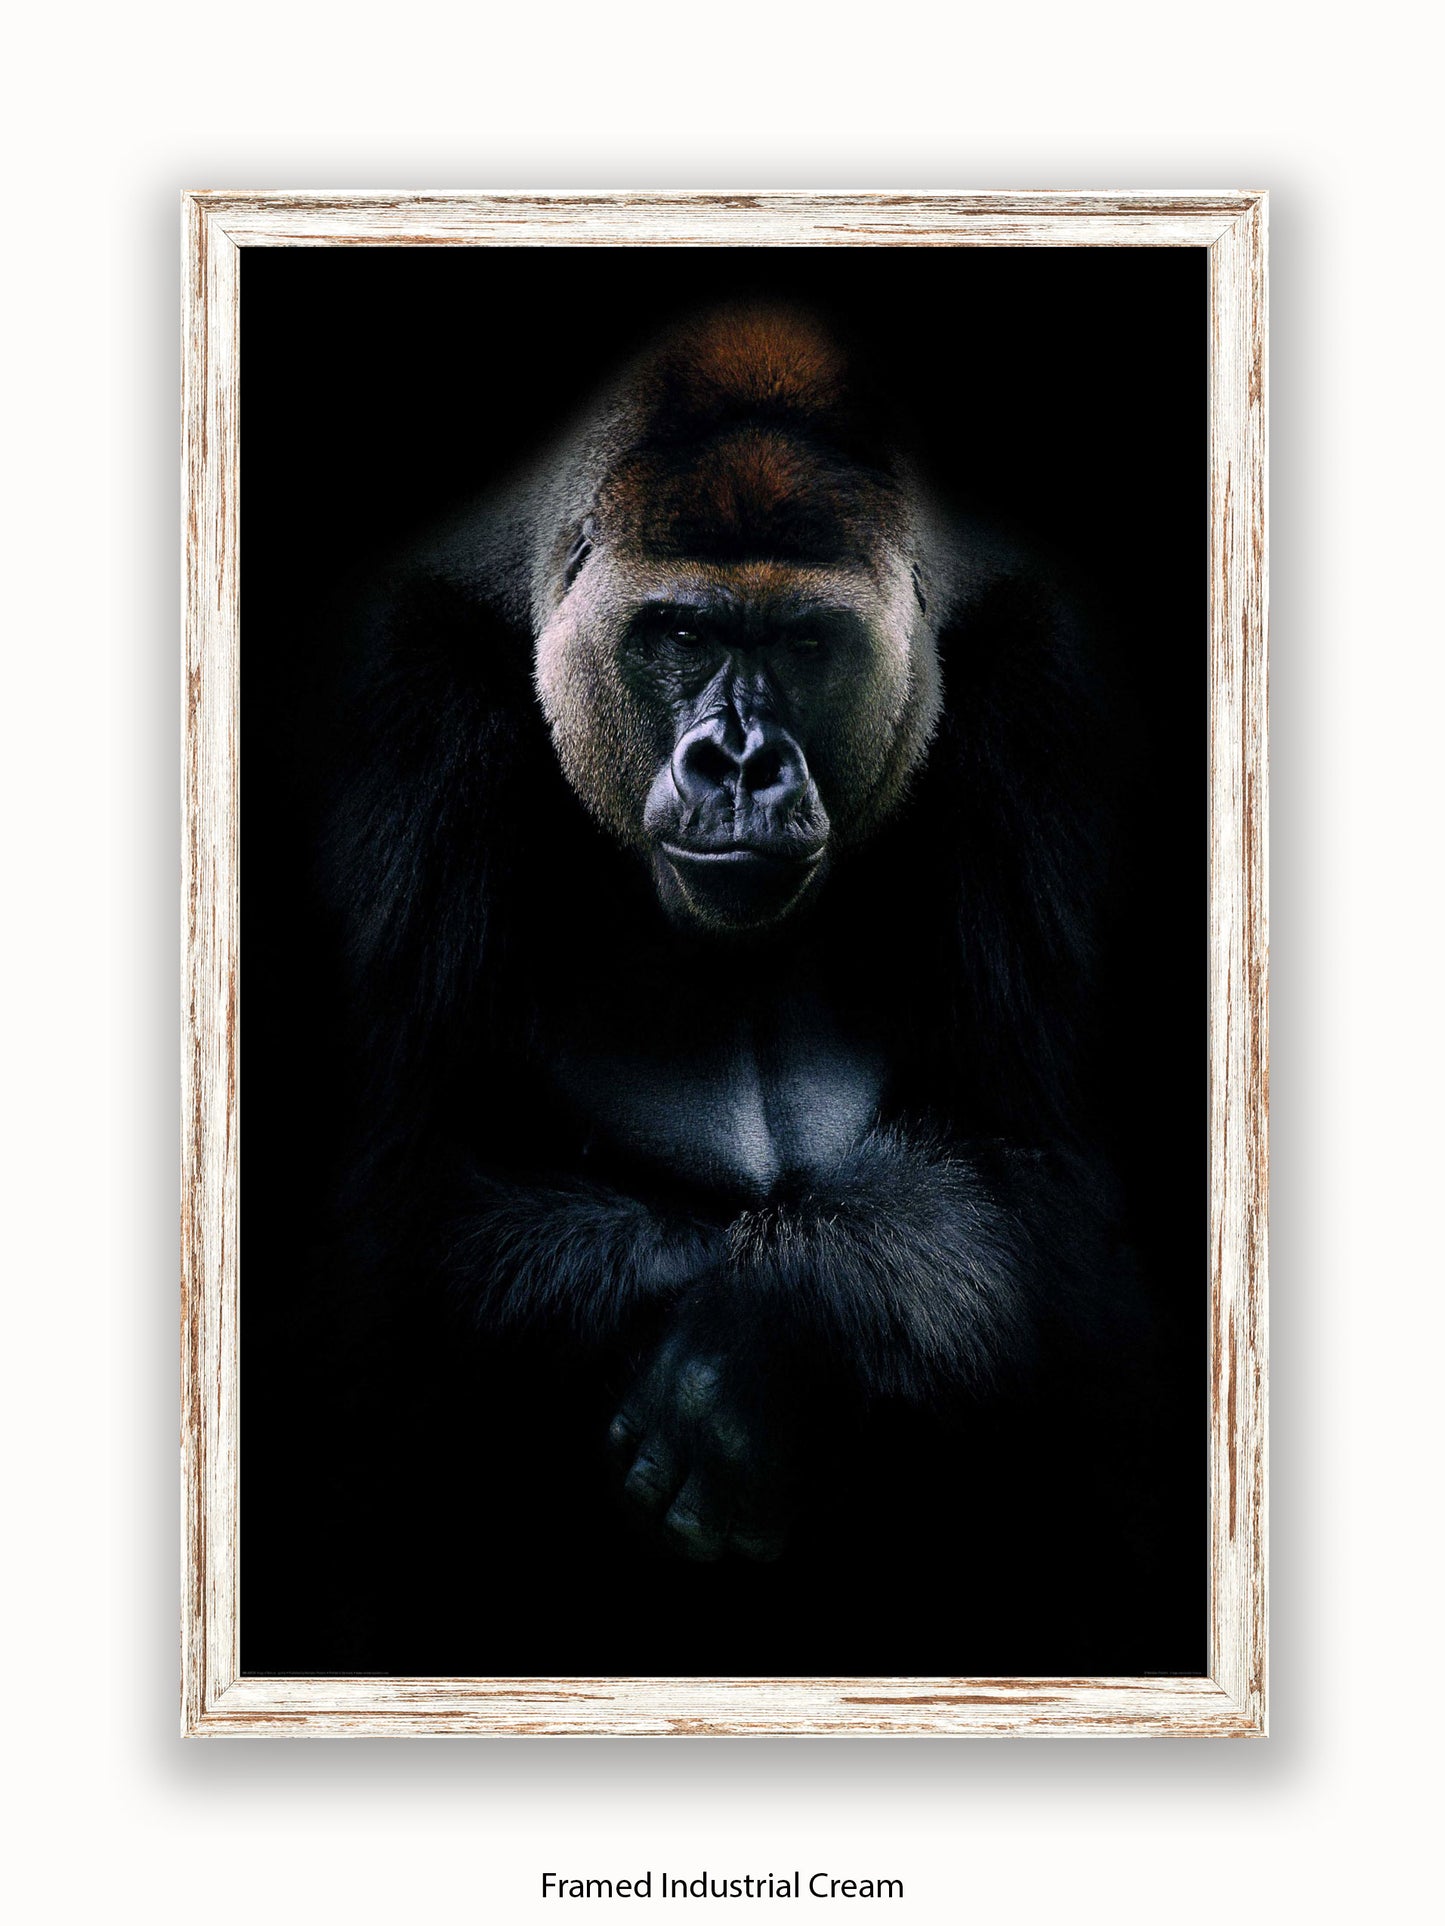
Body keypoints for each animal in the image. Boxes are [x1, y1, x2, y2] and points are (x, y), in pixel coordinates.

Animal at [312, 304, 1172, 1672]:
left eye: (803, 643)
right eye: (681, 634)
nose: (740, 761)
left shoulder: (1043, 681)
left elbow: (1031, 1174)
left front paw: (767, 1342)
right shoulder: (399, 695)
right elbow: (408, 1204)